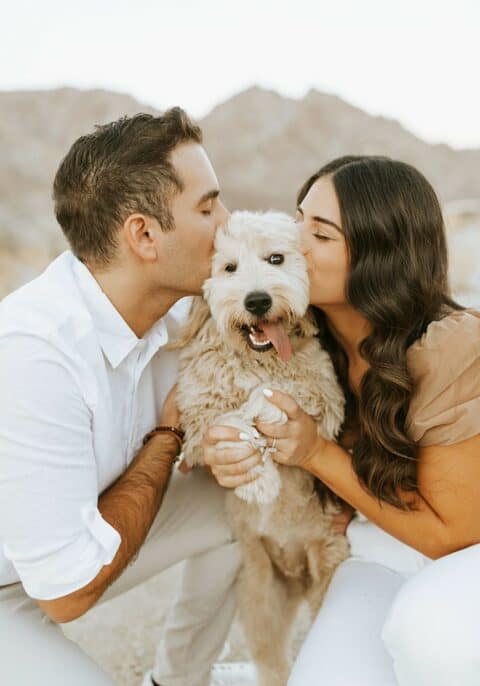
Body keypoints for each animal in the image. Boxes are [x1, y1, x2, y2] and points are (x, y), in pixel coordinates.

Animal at [172, 212, 348, 684]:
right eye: (229, 267)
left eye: (276, 259)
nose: (256, 301)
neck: (259, 358)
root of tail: (296, 571)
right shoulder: (197, 412)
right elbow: (225, 422)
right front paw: (257, 481)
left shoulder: (325, 395)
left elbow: (272, 394)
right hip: (260, 598)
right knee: (272, 662)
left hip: (325, 571)